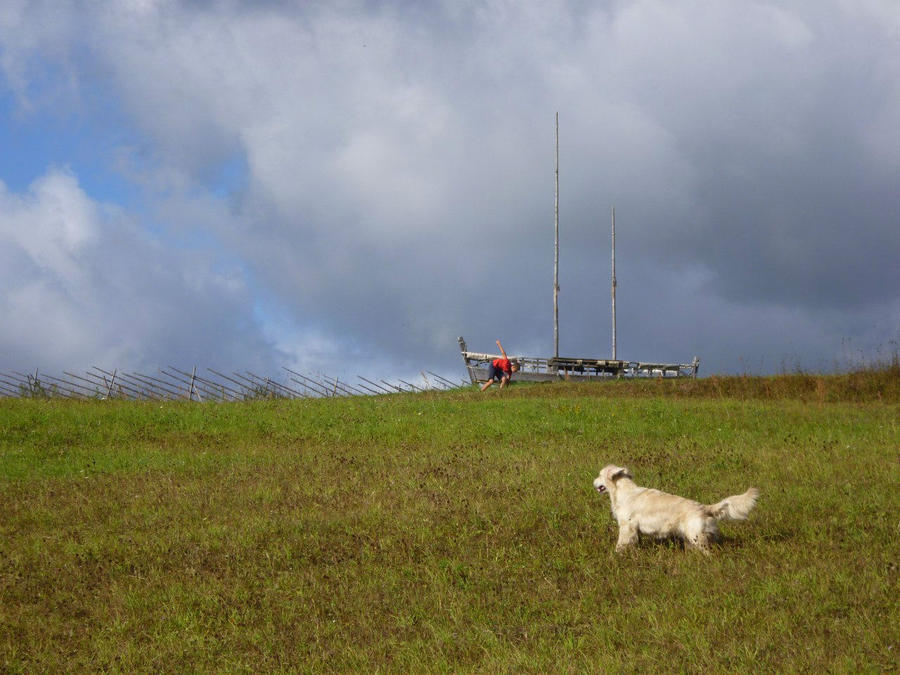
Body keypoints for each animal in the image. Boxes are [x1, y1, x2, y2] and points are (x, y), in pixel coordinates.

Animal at [592, 464, 760, 556]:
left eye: (599, 475)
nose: (593, 482)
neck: (623, 492)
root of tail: (704, 507)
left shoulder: (627, 527)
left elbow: (620, 545)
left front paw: (615, 556)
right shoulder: (634, 530)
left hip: (696, 537)